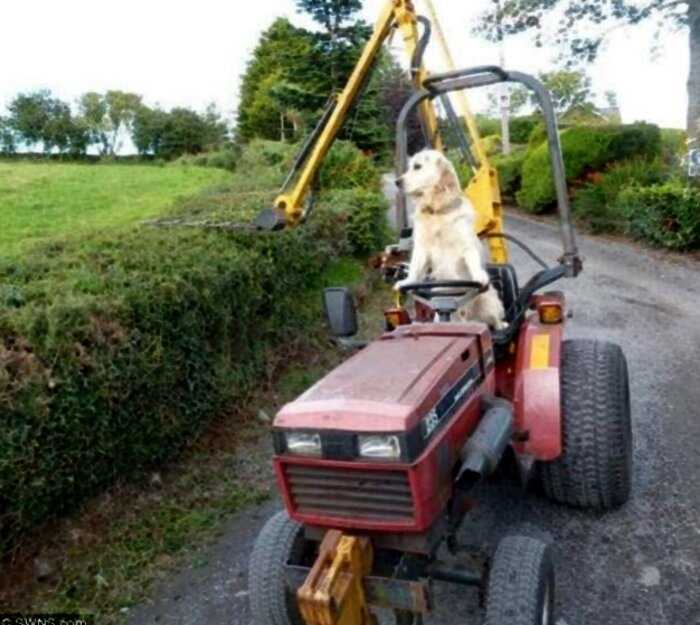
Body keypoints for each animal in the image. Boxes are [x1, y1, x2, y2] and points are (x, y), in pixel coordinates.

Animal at [394, 151, 508, 330]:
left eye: (417, 166)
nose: (397, 182)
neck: (438, 212)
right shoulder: (422, 249)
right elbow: (415, 268)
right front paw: (406, 281)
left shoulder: (466, 245)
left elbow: (473, 260)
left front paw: (479, 276)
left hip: (489, 304)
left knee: (495, 321)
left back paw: (502, 325)